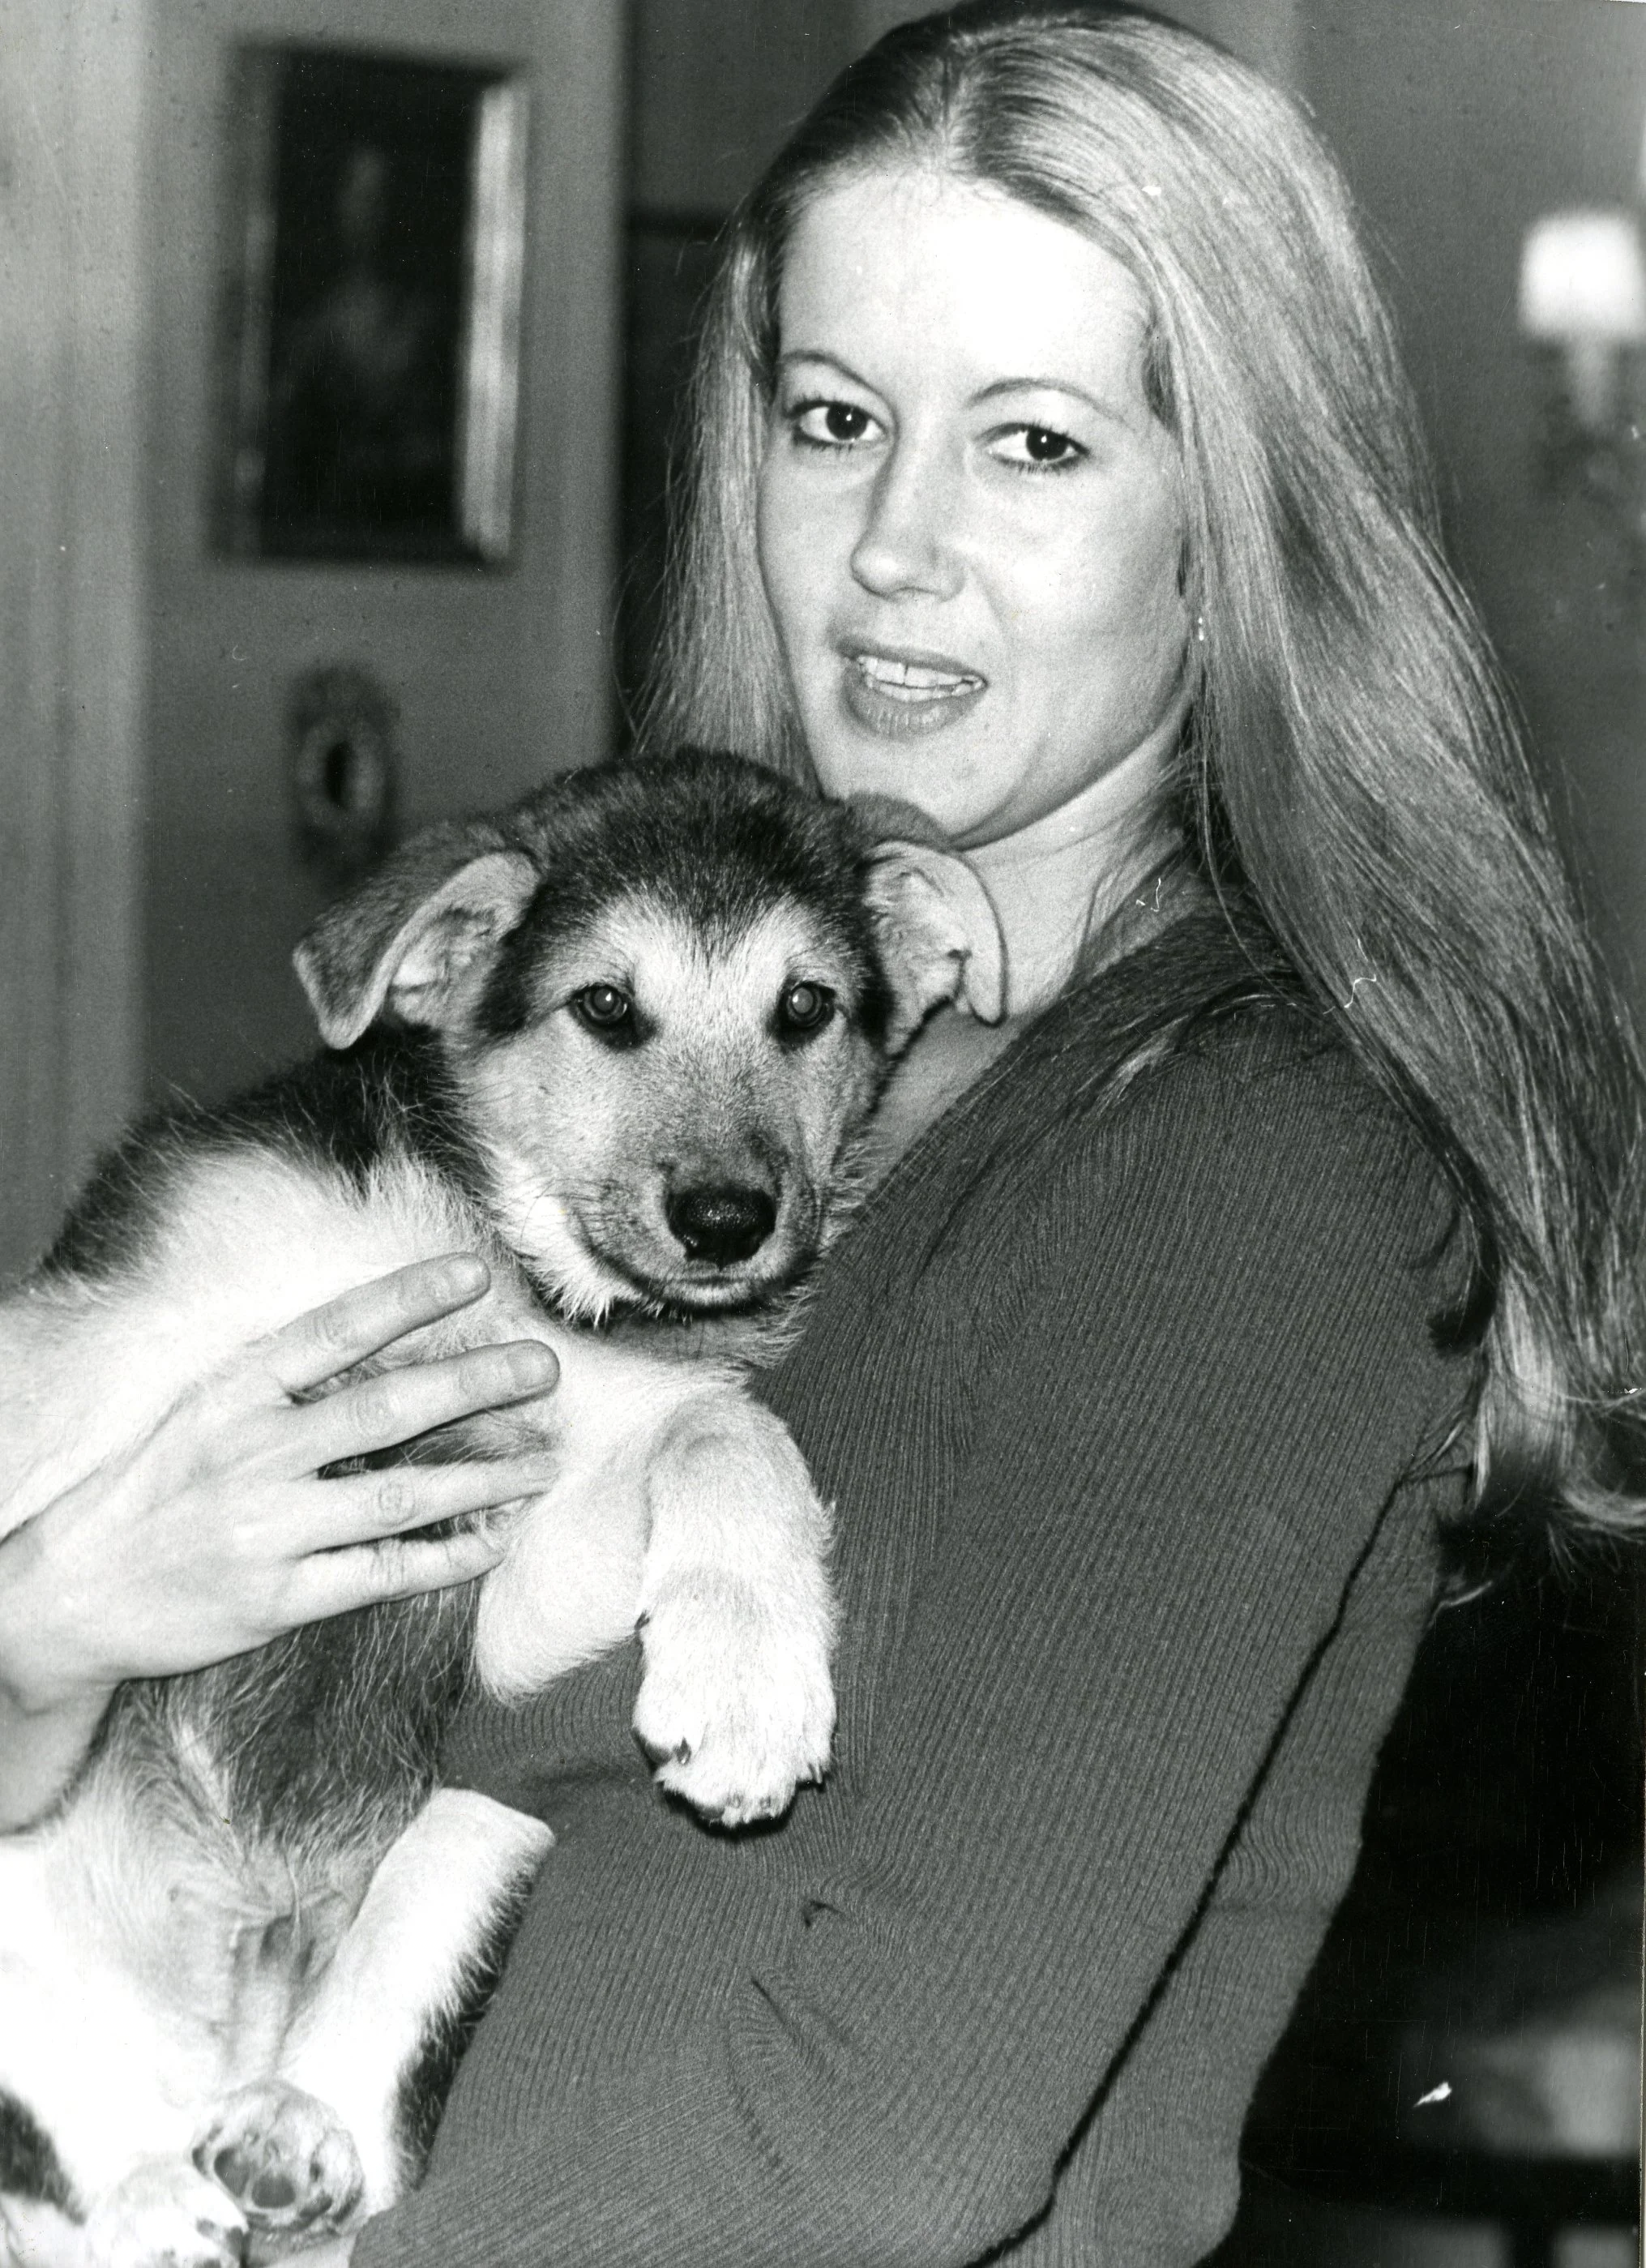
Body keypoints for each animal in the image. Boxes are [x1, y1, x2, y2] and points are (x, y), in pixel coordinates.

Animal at [0, 751, 1004, 2268]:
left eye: (805, 1006)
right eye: (604, 1006)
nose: (728, 1219)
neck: (503, 1259)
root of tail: (234, 1992)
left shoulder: (503, 1580)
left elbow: (724, 1426)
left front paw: (745, 1683)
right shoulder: (100, 1340)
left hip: (480, 1827)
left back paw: (282, 2140)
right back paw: (147, 2198)